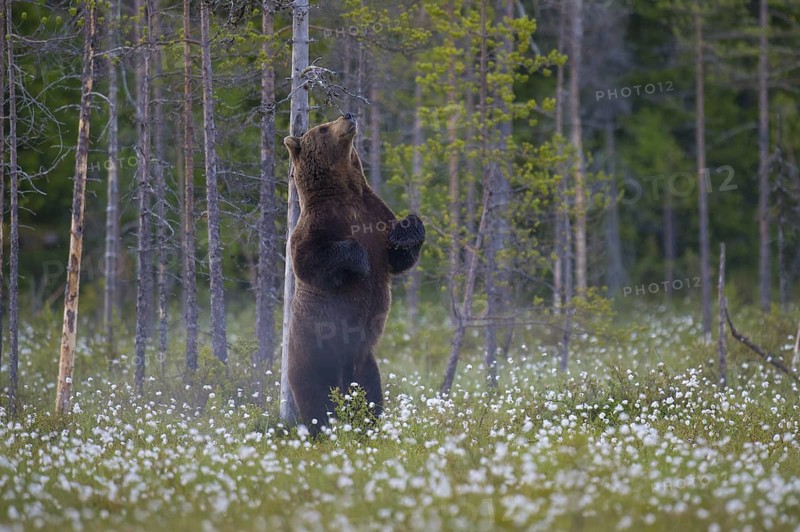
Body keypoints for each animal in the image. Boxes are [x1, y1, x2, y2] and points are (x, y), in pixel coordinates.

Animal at [283, 113, 425, 434]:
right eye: (323, 128)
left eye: (330, 119)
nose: (348, 115)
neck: (344, 192)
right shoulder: (314, 225)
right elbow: (307, 261)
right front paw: (360, 260)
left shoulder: (375, 212)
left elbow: (398, 259)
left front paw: (408, 227)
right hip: (312, 357)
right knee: (316, 399)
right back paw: (323, 428)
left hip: (366, 364)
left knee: (371, 392)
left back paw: (369, 423)